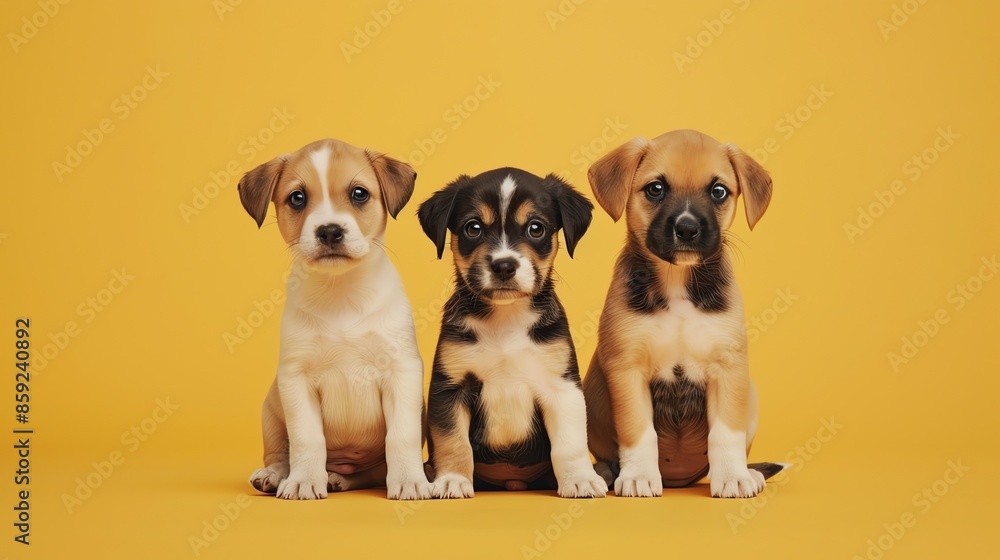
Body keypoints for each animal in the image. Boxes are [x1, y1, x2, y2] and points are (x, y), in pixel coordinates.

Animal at [242, 138, 434, 500]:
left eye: (359, 194)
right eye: (297, 198)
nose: (329, 231)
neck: (341, 292)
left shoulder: (401, 372)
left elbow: (401, 437)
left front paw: (409, 480)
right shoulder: (296, 379)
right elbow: (307, 438)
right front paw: (304, 479)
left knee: (369, 473)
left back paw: (339, 478)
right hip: (270, 411)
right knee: (279, 453)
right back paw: (276, 475)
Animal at [416, 167, 604, 498]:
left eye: (535, 228)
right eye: (473, 228)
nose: (504, 266)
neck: (505, 319)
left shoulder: (561, 386)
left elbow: (570, 445)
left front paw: (580, 479)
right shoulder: (450, 388)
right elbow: (453, 442)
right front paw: (453, 479)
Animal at [584, 129, 784, 496]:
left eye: (718, 191)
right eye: (655, 188)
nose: (687, 229)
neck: (677, 282)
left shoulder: (728, 368)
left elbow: (725, 434)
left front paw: (732, 476)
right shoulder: (628, 368)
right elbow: (638, 431)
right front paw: (638, 476)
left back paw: (750, 472)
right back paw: (605, 473)